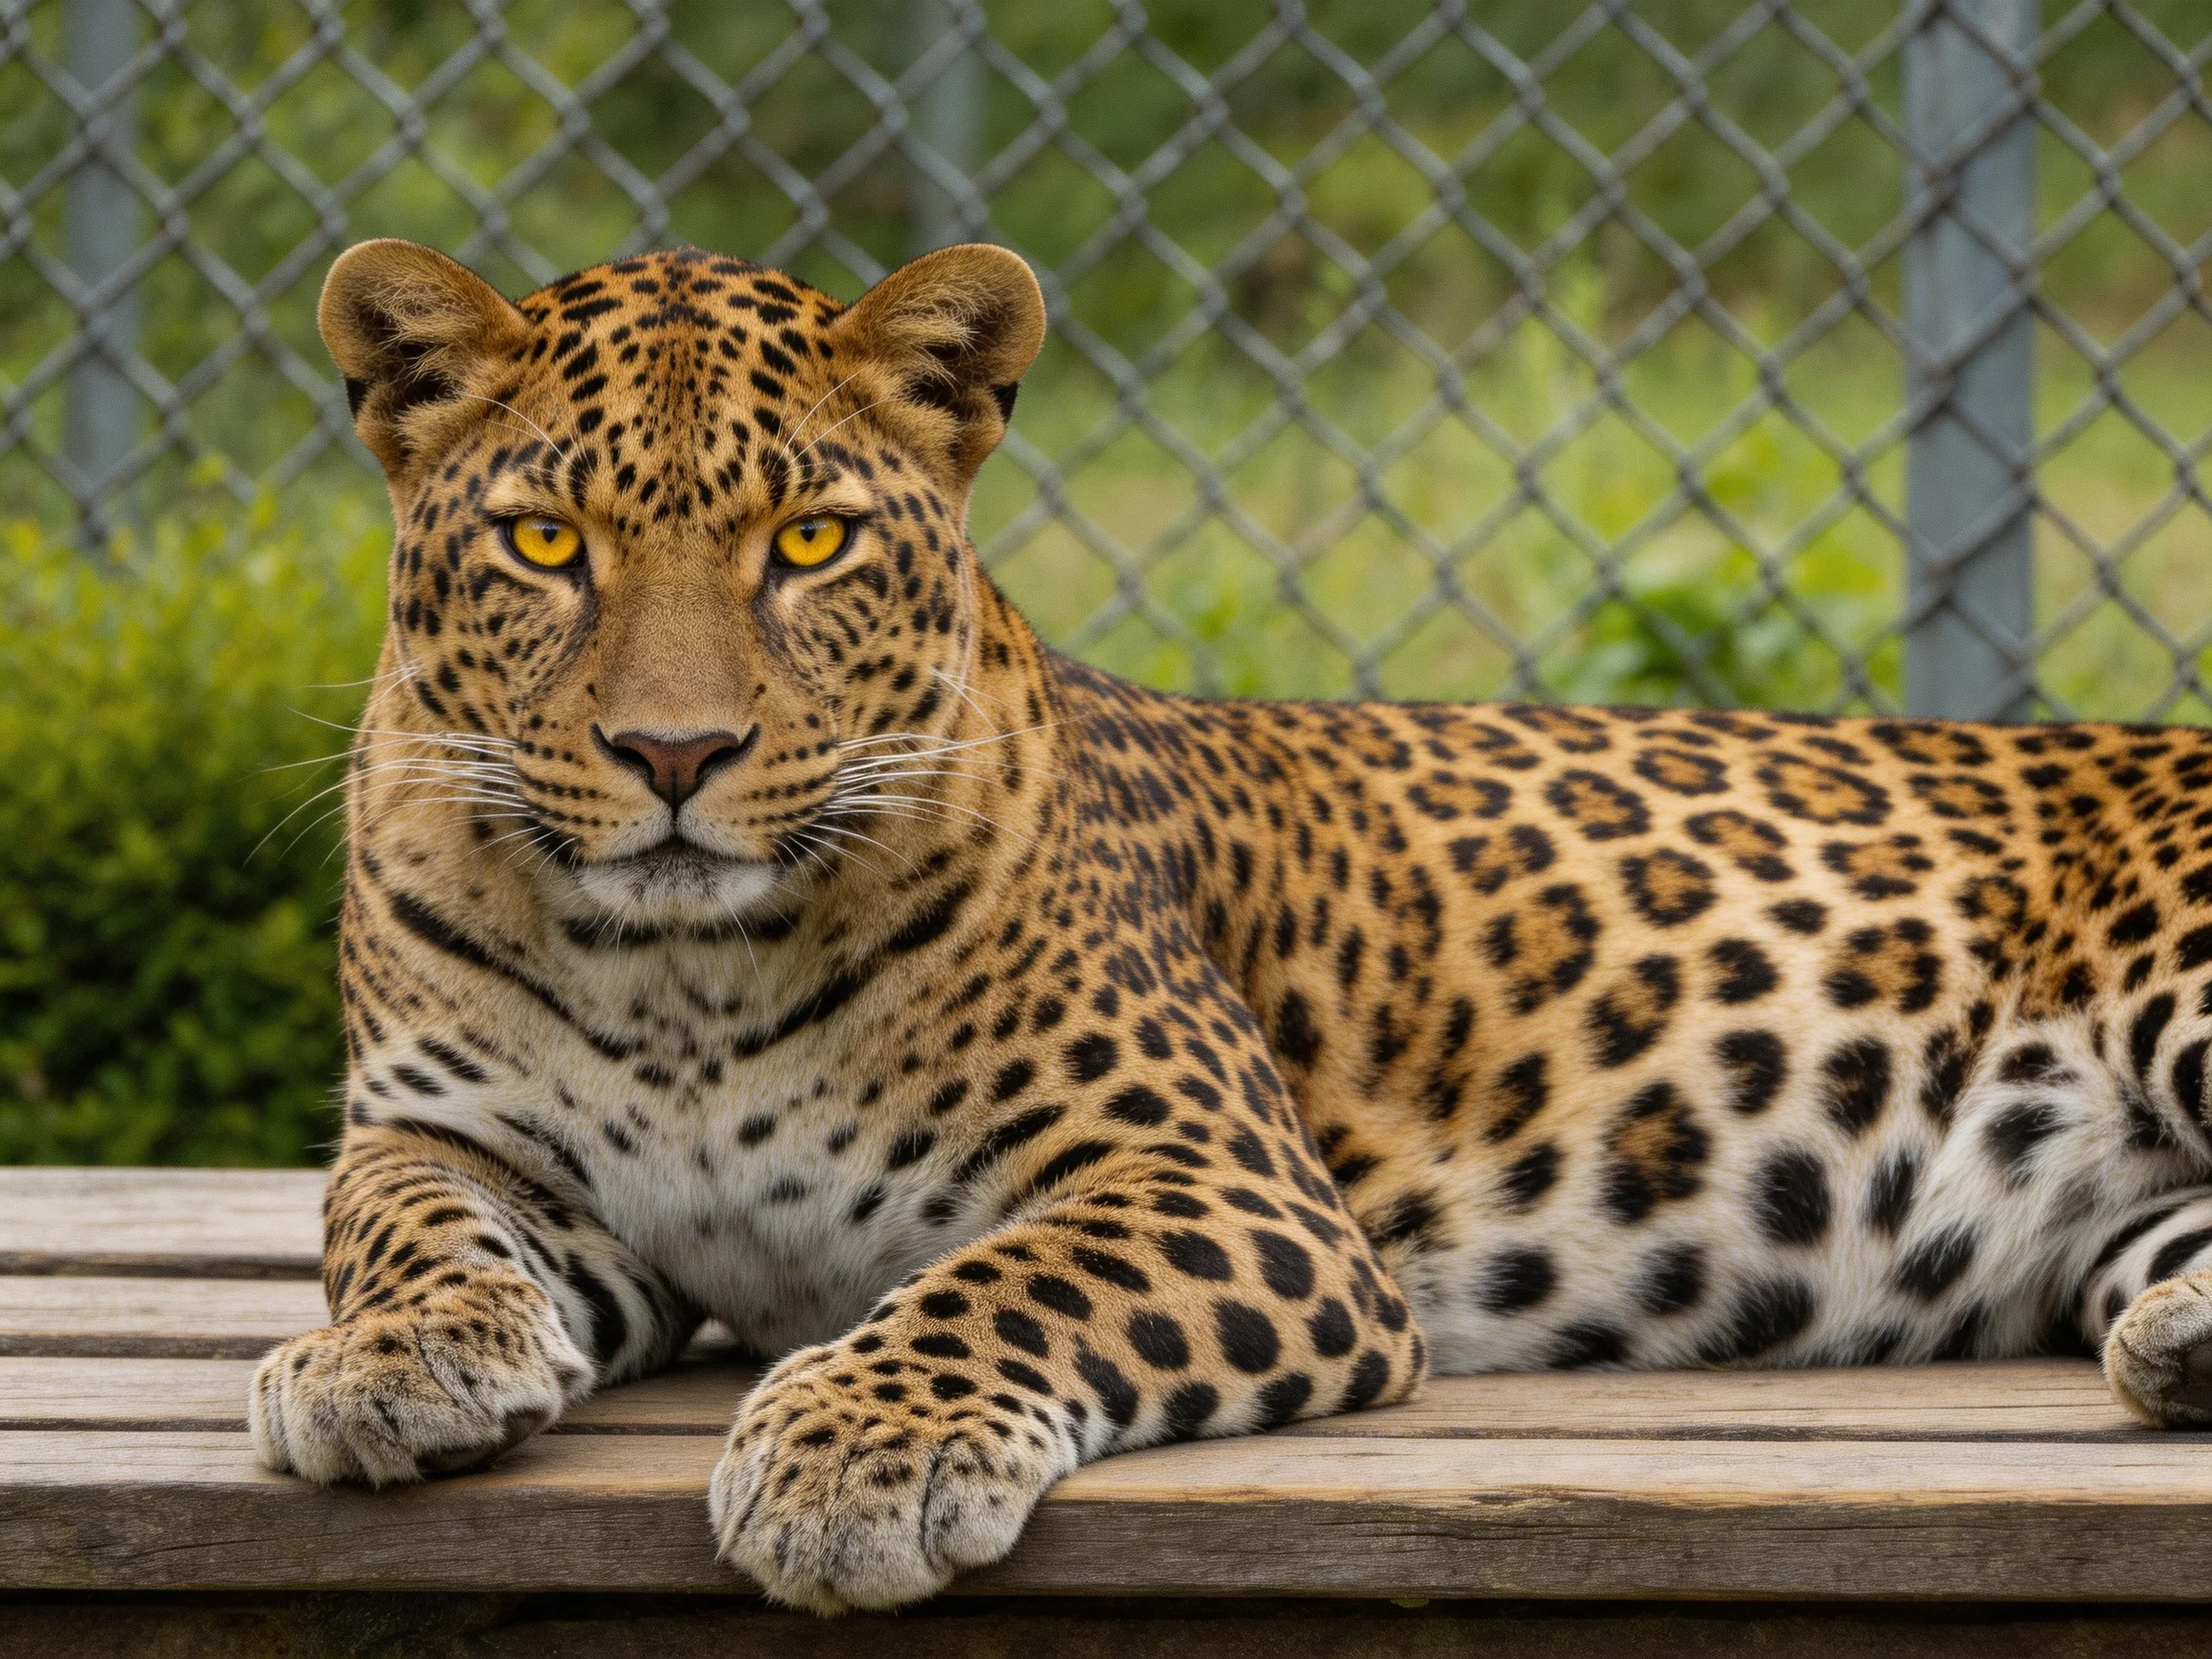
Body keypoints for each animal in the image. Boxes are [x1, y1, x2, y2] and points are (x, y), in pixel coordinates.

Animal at [251, 234, 2212, 1612]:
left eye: (809, 544)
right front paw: (380, 1357)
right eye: (544, 544)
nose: (674, 754)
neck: (683, 977)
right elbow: (395, 1221)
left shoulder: (1224, 1184)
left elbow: (1010, 1277)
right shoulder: (457, 1135)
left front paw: (850, 1449)